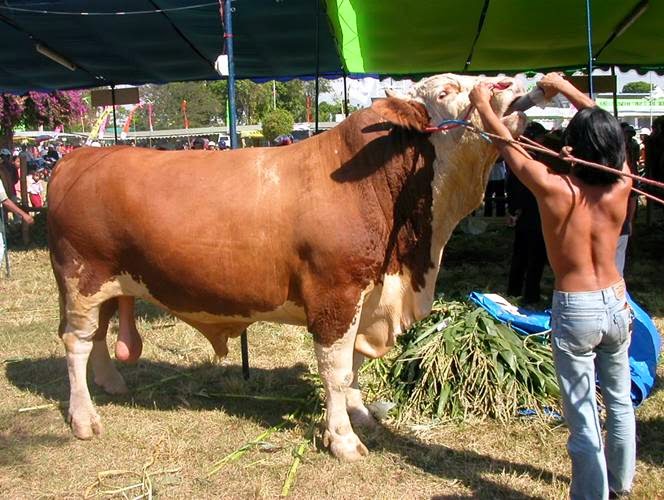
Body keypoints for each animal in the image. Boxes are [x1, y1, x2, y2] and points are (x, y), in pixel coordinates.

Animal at [49, 74, 524, 460]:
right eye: (445, 90)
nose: (511, 82)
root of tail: (77, 157)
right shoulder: (335, 297)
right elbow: (336, 370)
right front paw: (343, 439)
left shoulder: (367, 294)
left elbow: (354, 364)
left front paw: (359, 412)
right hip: (81, 276)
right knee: (76, 342)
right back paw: (83, 418)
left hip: (108, 284)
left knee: (97, 334)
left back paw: (110, 383)